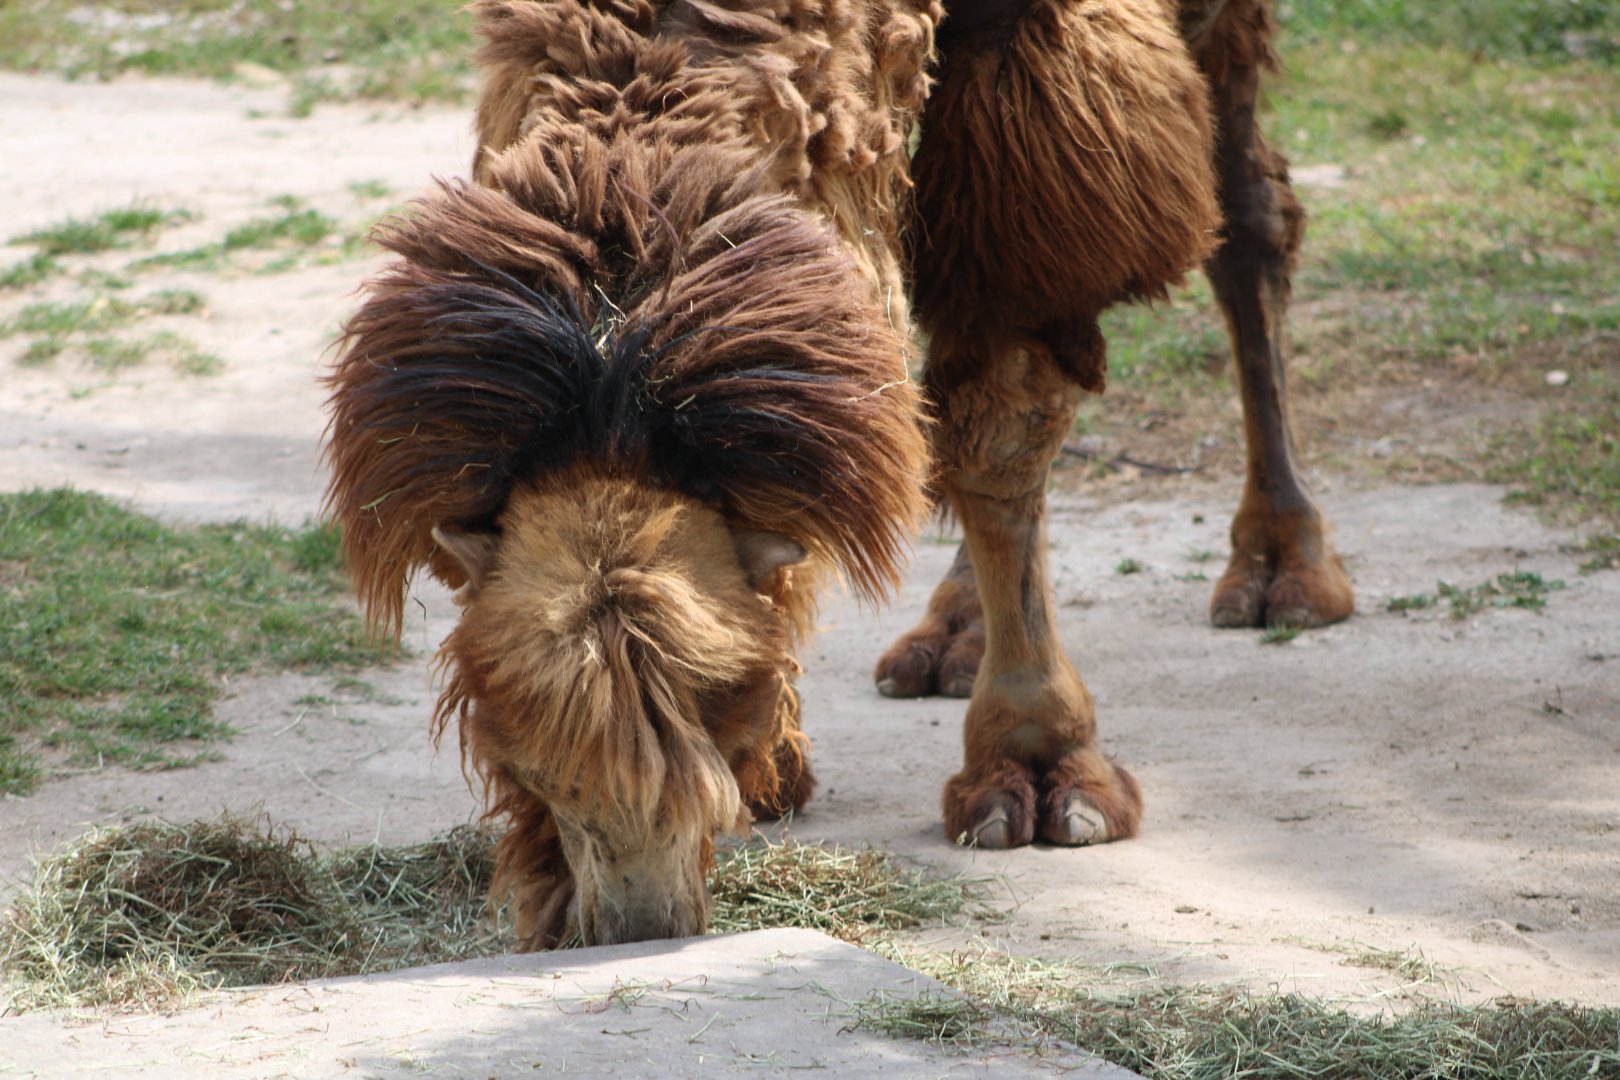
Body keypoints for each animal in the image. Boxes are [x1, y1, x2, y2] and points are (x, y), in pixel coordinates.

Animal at [323, 0, 1352, 949]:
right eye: (518, 741)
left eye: (716, 704)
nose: (636, 923)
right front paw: (779, 767)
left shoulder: (1038, 70)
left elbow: (1005, 422)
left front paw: (1038, 764)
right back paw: (953, 636)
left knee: (1247, 209)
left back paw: (1283, 569)